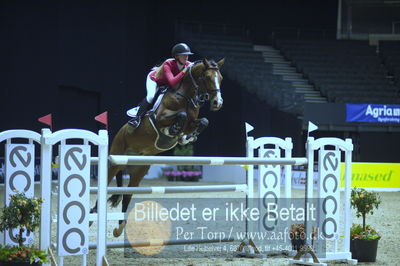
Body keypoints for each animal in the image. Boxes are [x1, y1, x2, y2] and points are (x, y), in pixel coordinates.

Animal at [90, 57, 223, 235]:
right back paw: (92, 217)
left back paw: (119, 228)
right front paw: (173, 130)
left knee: (127, 194)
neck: (186, 96)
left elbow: (203, 121)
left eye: (220, 78)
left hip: (139, 170)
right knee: (106, 186)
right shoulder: (161, 118)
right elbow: (181, 115)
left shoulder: (191, 122)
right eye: (207, 77)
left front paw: (186, 137)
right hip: (115, 162)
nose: (217, 103)